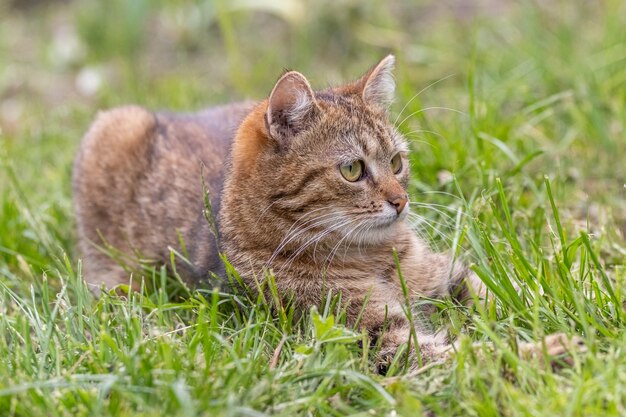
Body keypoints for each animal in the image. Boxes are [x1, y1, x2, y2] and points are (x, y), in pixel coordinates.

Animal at [74, 56, 580, 370]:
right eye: (353, 169)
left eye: (396, 162)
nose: (401, 201)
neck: (376, 258)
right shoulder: (374, 337)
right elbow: (472, 356)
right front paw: (549, 349)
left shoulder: (448, 275)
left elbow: (505, 292)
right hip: (112, 132)